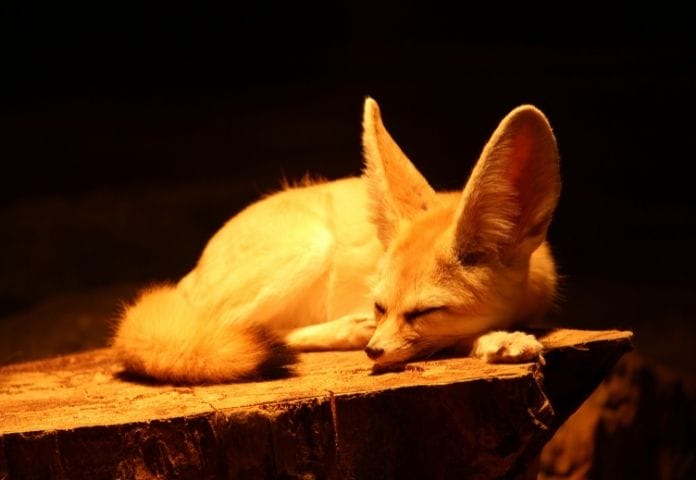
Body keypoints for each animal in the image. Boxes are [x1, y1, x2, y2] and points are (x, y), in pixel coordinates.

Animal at [112, 97, 561, 384]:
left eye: (426, 311)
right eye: (380, 305)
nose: (374, 352)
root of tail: (189, 277)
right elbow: (448, 339)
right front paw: (498, 340)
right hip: (308, 248)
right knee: (231, 330)